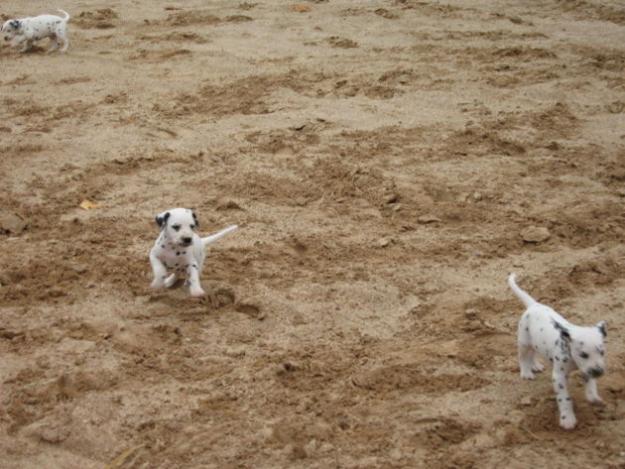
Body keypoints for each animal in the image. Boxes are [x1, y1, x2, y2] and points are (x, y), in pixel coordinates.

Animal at [508, 272, 604, 430]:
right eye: (583, 354)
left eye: (602, 352)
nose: (598, 372)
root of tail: (534, 305)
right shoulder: (559, 377)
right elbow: (565, 398)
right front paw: (567, 419)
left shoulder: (587, 368)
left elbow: (590, 382)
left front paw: (593, 396)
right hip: (524, 341)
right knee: (523, 357)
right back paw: (526, 372)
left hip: (535, 341)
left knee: (533, 353)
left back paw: (535, 365)